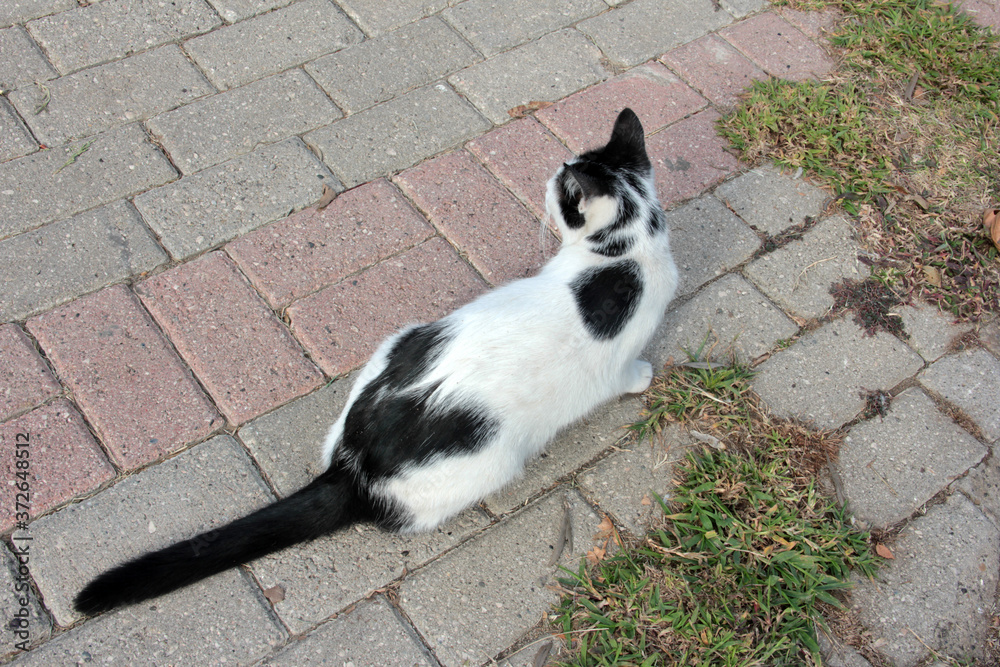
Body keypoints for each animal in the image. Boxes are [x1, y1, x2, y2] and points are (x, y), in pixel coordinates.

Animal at [70, 109, 680, 616]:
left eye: (561, 188)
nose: (547, 178)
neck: (627, 249)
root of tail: (352, 465)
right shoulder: (616, 357)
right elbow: (626, 374)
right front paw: (643, 379)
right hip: (489, 459)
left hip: (398, 341)